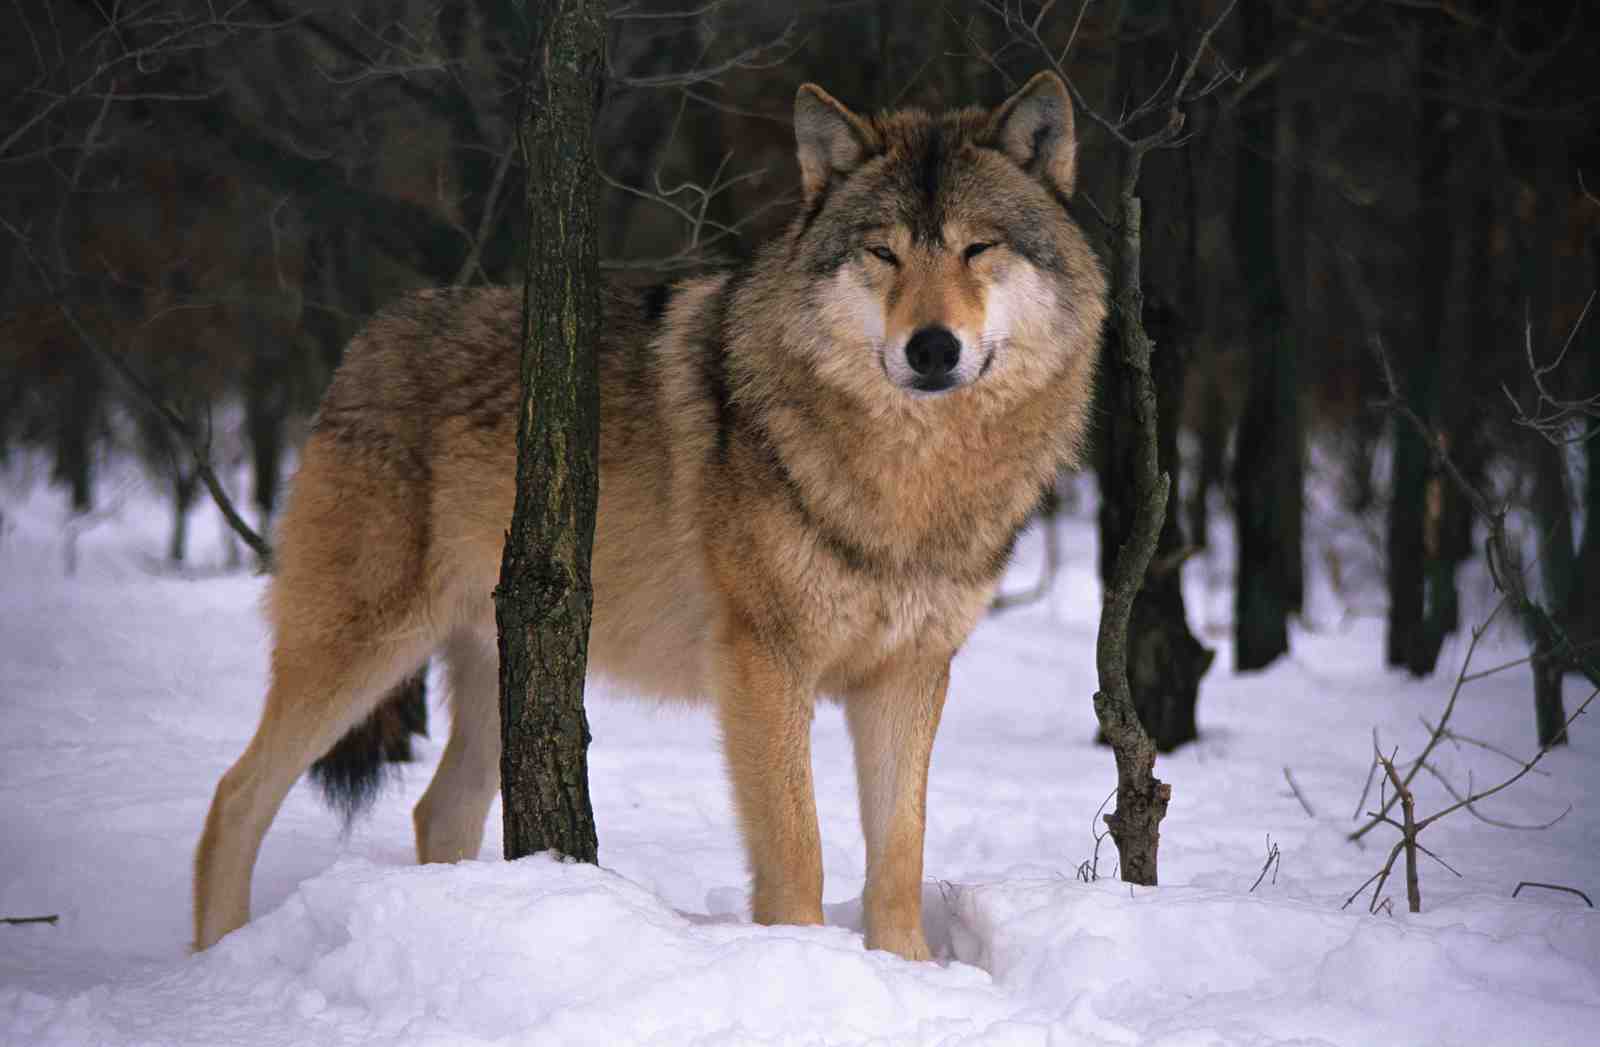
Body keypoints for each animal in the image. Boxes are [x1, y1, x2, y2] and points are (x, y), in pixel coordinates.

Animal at [193, 71, 1106, 961]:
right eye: (883, 253)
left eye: (978, 248)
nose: (931, 348)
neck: (913, 482)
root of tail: (371, 333)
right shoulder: (764, 664)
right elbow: (799, 848)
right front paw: (807, 963)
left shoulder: (909, 674)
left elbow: (900, 854)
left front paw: (908, 972)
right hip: (362, 650)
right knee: (233, 796)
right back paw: (216, 957)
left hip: (508, 658)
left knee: (436, 810)